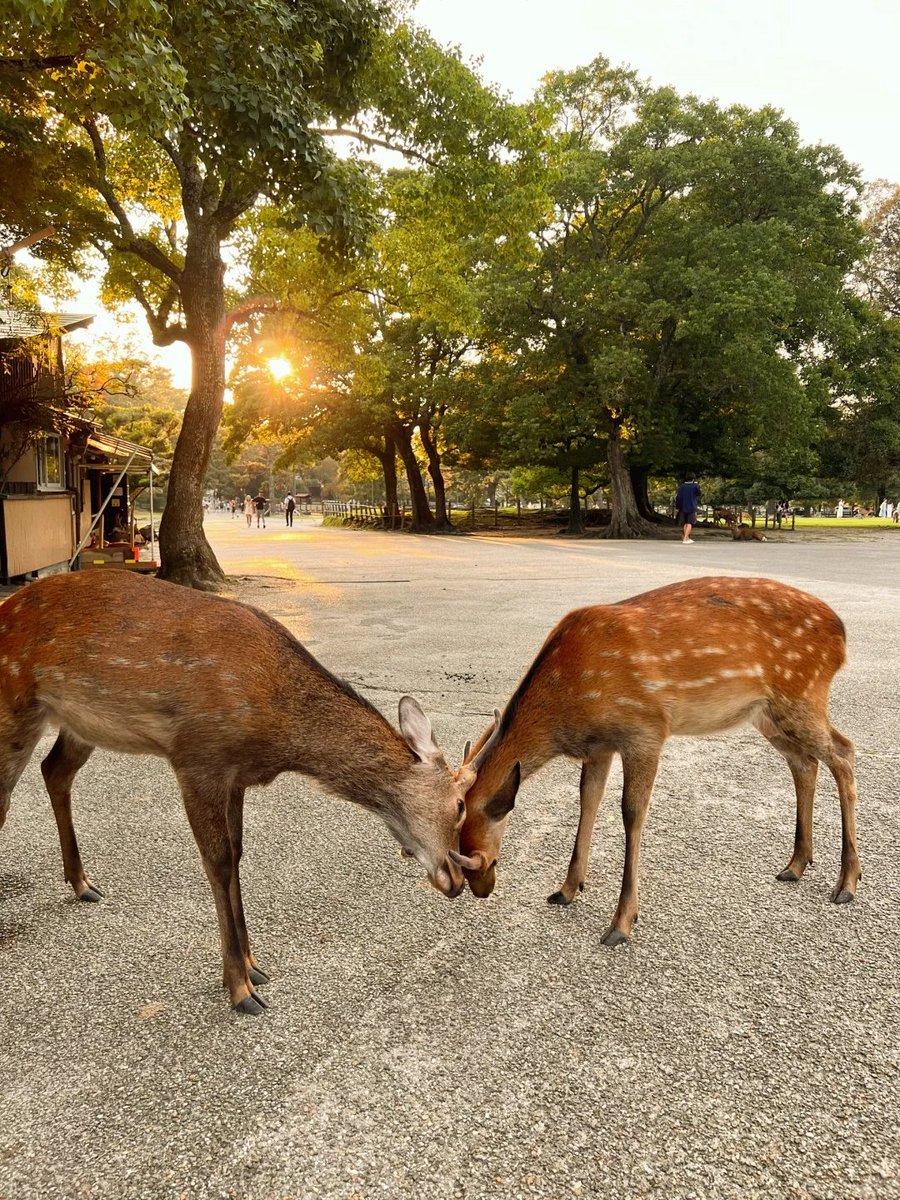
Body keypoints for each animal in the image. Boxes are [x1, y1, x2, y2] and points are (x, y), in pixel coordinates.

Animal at [0, 571, 469, 1014]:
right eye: (461, 804)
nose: (457, 879)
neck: (277, 731)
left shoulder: (236, 776)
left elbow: (238, 855)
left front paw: (254, 966)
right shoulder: (197, 758)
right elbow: (219, 861)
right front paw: (239, 988)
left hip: (80, 723)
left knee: (54, 771)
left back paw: (82, 883)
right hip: (16, 709)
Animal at [451, 576, 860, 948]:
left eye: (478, 859)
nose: (480, 889)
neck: (568, 705)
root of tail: (841, 634)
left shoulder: (645, 729)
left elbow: (632, 813)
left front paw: (621, 923)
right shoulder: (600, 747)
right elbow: (587, 801)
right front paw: (567, 888)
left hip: (802, 694)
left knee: (844, 751)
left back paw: (847, 882)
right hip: (768, 714)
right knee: (804, 762)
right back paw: (796, 864)